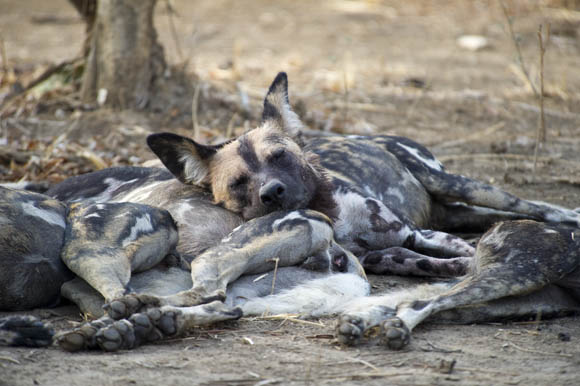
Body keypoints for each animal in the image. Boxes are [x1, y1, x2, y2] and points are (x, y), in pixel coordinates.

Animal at [1, 71, 580, 352]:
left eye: (279, 156)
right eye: (239, 183)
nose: (274, 193)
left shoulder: (409, 235)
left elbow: (449, 256)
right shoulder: (390, 252)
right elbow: (424, 263)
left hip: (459, 183)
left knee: (526, 205)